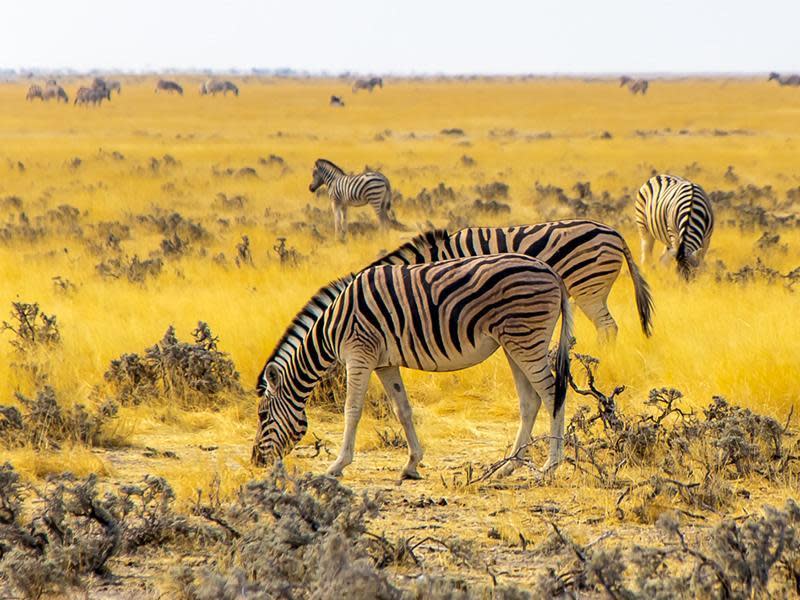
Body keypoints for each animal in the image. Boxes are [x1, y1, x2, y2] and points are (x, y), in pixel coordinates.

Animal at [253, 253, 572, 478]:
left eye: (263, 415)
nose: (256, 461)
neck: (331, 329)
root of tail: (551, 271)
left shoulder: (359, 354)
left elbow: (352, 410)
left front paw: (337, 465)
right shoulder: (384, 364)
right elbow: (402, 409)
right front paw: (411, 464)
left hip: (525, 338)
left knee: (551, 395)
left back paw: (551, 464)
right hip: (512, 343)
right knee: (530, 401)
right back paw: (508, 466)